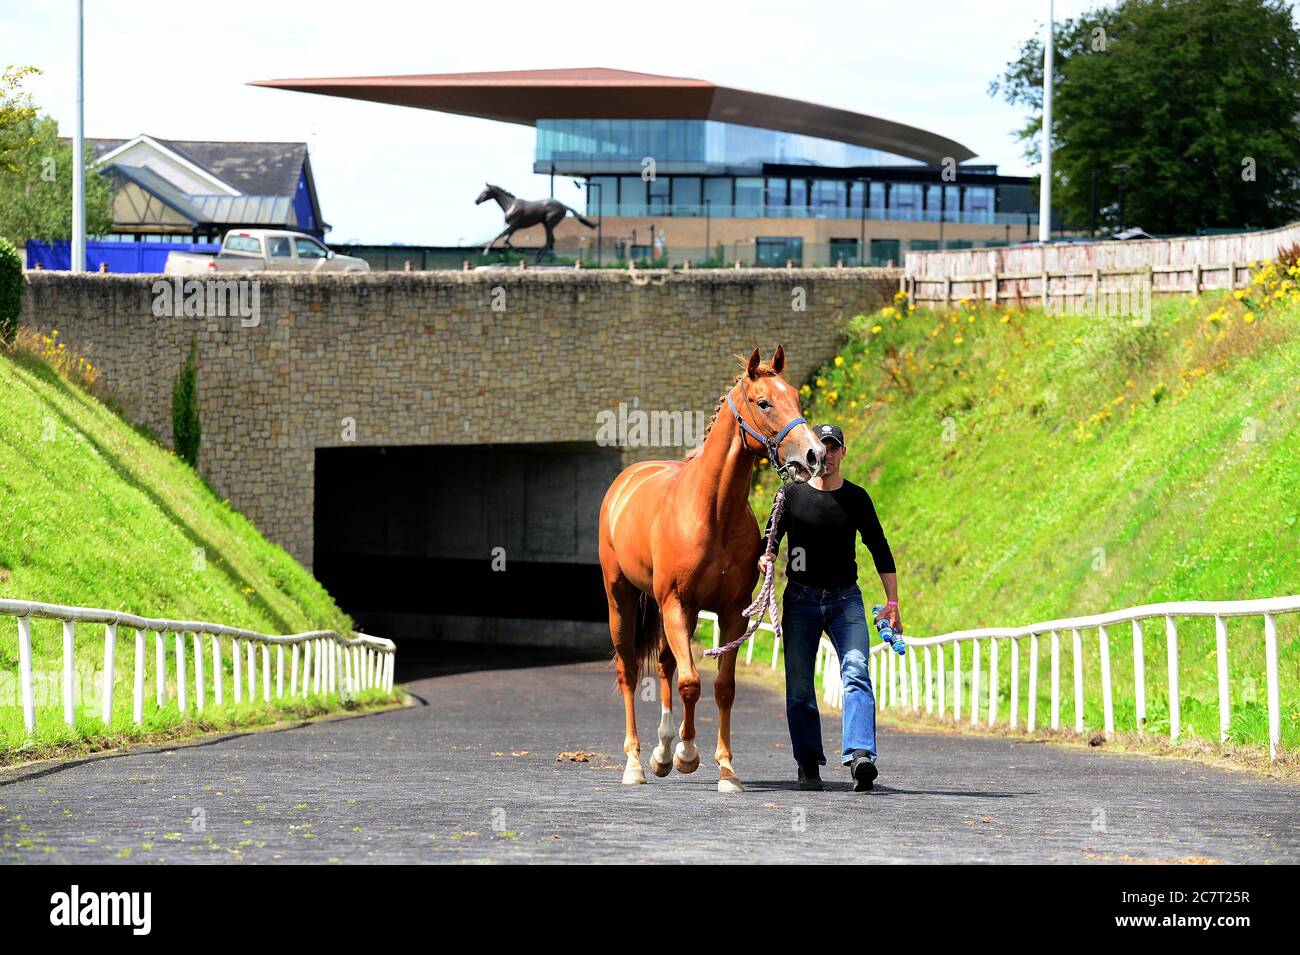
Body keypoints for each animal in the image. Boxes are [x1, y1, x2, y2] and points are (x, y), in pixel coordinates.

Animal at [595, 343, 821, 789]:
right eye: (764, 402)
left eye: (796, 398)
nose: (814, 453)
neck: (712, 511)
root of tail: (625, 481)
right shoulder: (677, 604)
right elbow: (690, 683)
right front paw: (687, 755)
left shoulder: (730, 612)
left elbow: (722, 687)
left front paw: (725, 769)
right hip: (623, 599)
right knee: (629, 672)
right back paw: (636, 763)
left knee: (665, 663)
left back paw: (662, 752)